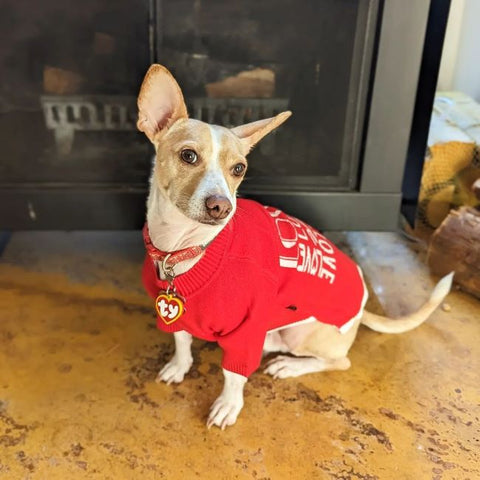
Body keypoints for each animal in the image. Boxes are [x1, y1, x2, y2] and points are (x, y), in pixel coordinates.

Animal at [136, 64, 454, 432]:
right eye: (188, 156)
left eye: (239, 169)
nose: (222, 206)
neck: (185, 248)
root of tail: (362, 313)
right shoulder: (174, 314)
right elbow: (182, 340)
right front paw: (179, 365)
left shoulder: (248, 329)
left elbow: (234, 374)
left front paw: (228, 404)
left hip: (304, 337)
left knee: (339, 362)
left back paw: (291, 365)